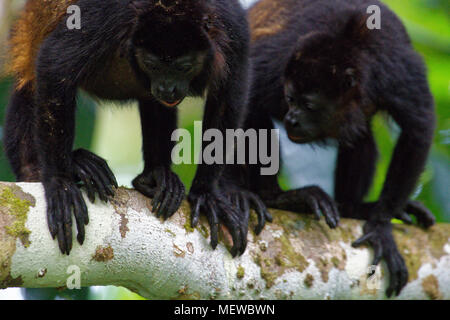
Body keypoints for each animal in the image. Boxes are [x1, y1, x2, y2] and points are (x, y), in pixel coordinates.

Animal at [3, 0, 268, 255]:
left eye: (183, 67)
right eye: (152, 65)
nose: (167, 88)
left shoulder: (234, 28)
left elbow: (229, 94)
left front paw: (207, 193)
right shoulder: (108, 14)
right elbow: (55, 63)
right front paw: (60, 184)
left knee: (155, 104)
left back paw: (155, 176)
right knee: (30, 85)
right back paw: (54, 167)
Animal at [243, 0, 436, 296]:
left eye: (309, 105)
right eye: (290, 98)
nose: (291, 119)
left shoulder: (398, 72)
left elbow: (419, 127)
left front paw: (380, 226)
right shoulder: (276, 63)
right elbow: (247, 98)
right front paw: (273, 196)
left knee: (360, 138)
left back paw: (353, 209)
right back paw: (281, 197)